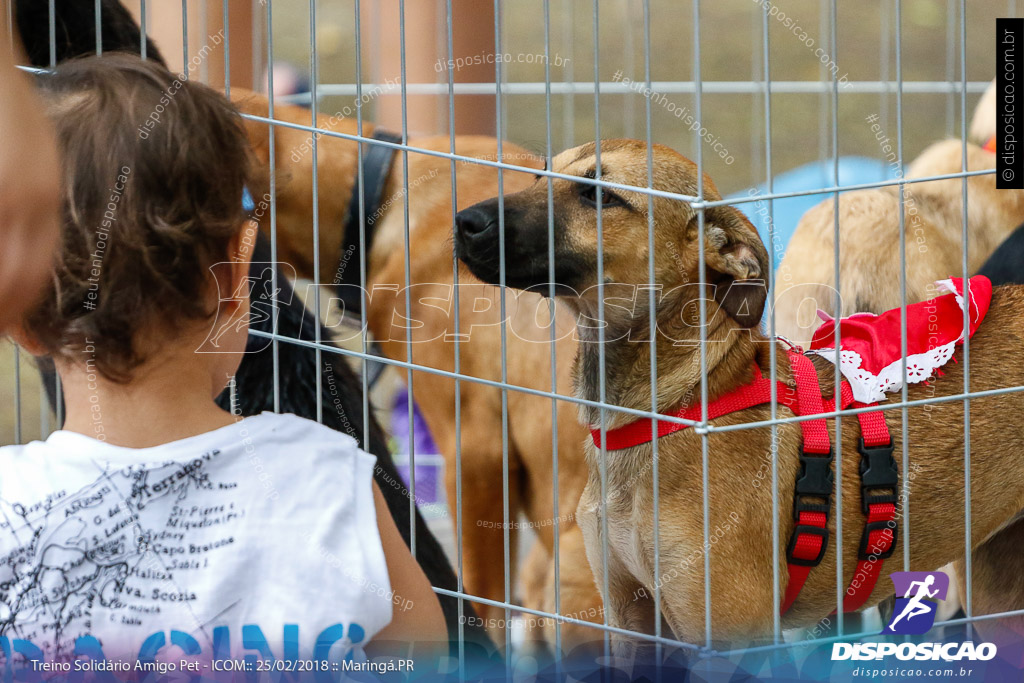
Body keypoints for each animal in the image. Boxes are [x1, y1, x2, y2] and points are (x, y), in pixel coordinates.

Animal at [460, 137, 1024, 647]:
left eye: (599, 196)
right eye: (540, 176)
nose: (466, 222)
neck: (677, 404)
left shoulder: (730, 636)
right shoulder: (632, 622)